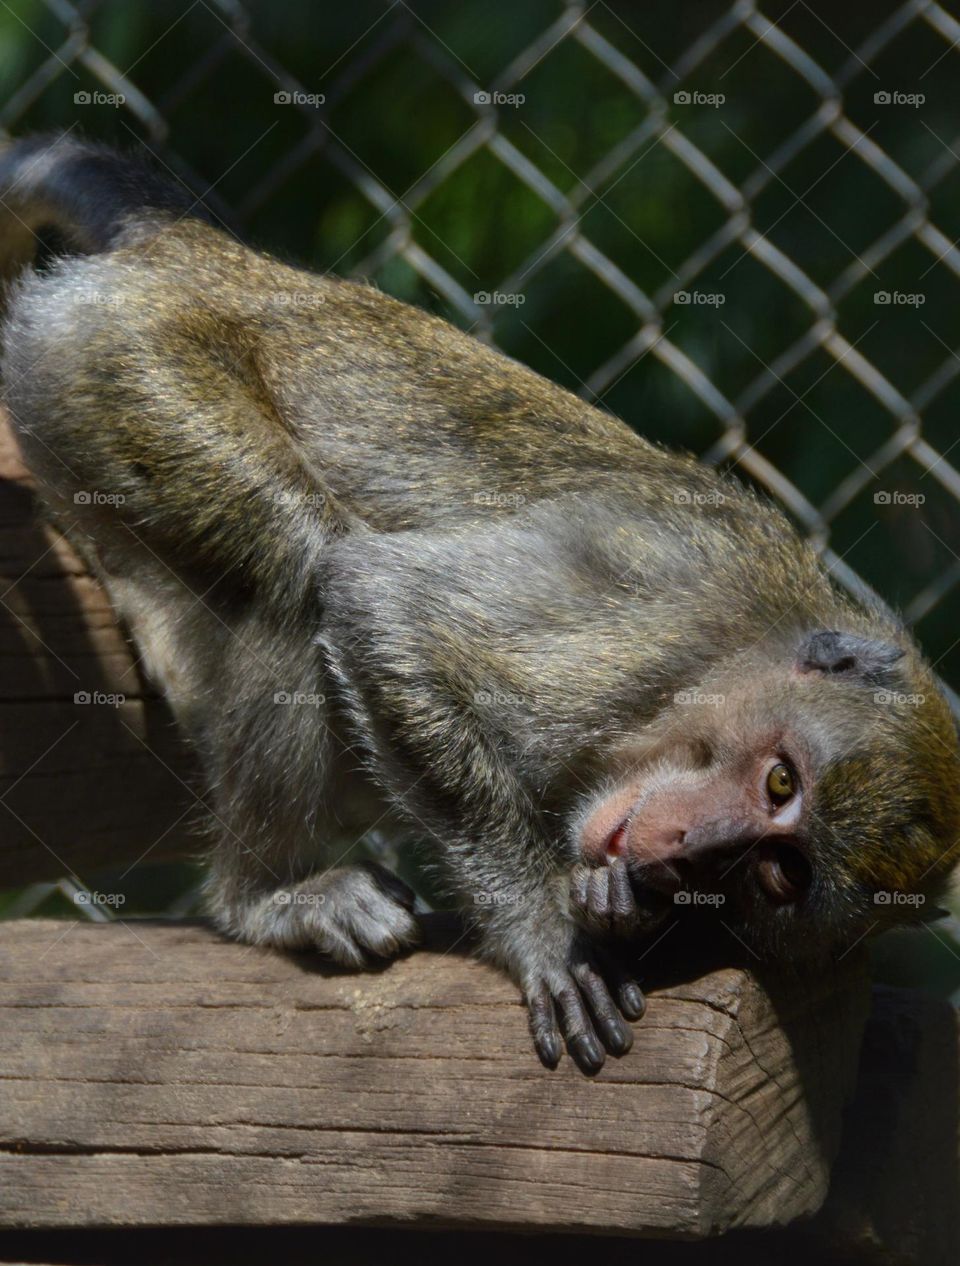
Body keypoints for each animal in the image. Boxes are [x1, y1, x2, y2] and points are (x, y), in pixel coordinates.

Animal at [1, 133, 958, 1075]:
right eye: (780, 781)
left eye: (778, 875)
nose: (693, 844)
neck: (745, 646)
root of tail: (189, 249)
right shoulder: (661, 605)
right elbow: (381, 600)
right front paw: (544, 928)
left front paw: (620, 899)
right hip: (120, 354)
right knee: (294, 566)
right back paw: (267, 896)